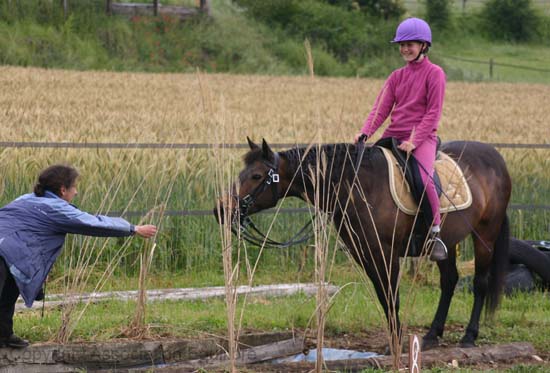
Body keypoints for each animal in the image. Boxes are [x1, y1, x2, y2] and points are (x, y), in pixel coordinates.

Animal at [217, 137, 512, 348]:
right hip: (446, 244)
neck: (357, 185)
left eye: (256, 176)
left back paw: (469, 336)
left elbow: (392, 296)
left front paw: (396, 344)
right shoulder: (366, 253)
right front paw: (394, 339)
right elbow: (384, 297)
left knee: (479, 283)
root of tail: (496, 158)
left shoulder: (387, 253)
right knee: (449, 281)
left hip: (486, 235)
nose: (221, 209)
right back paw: (431, 335)